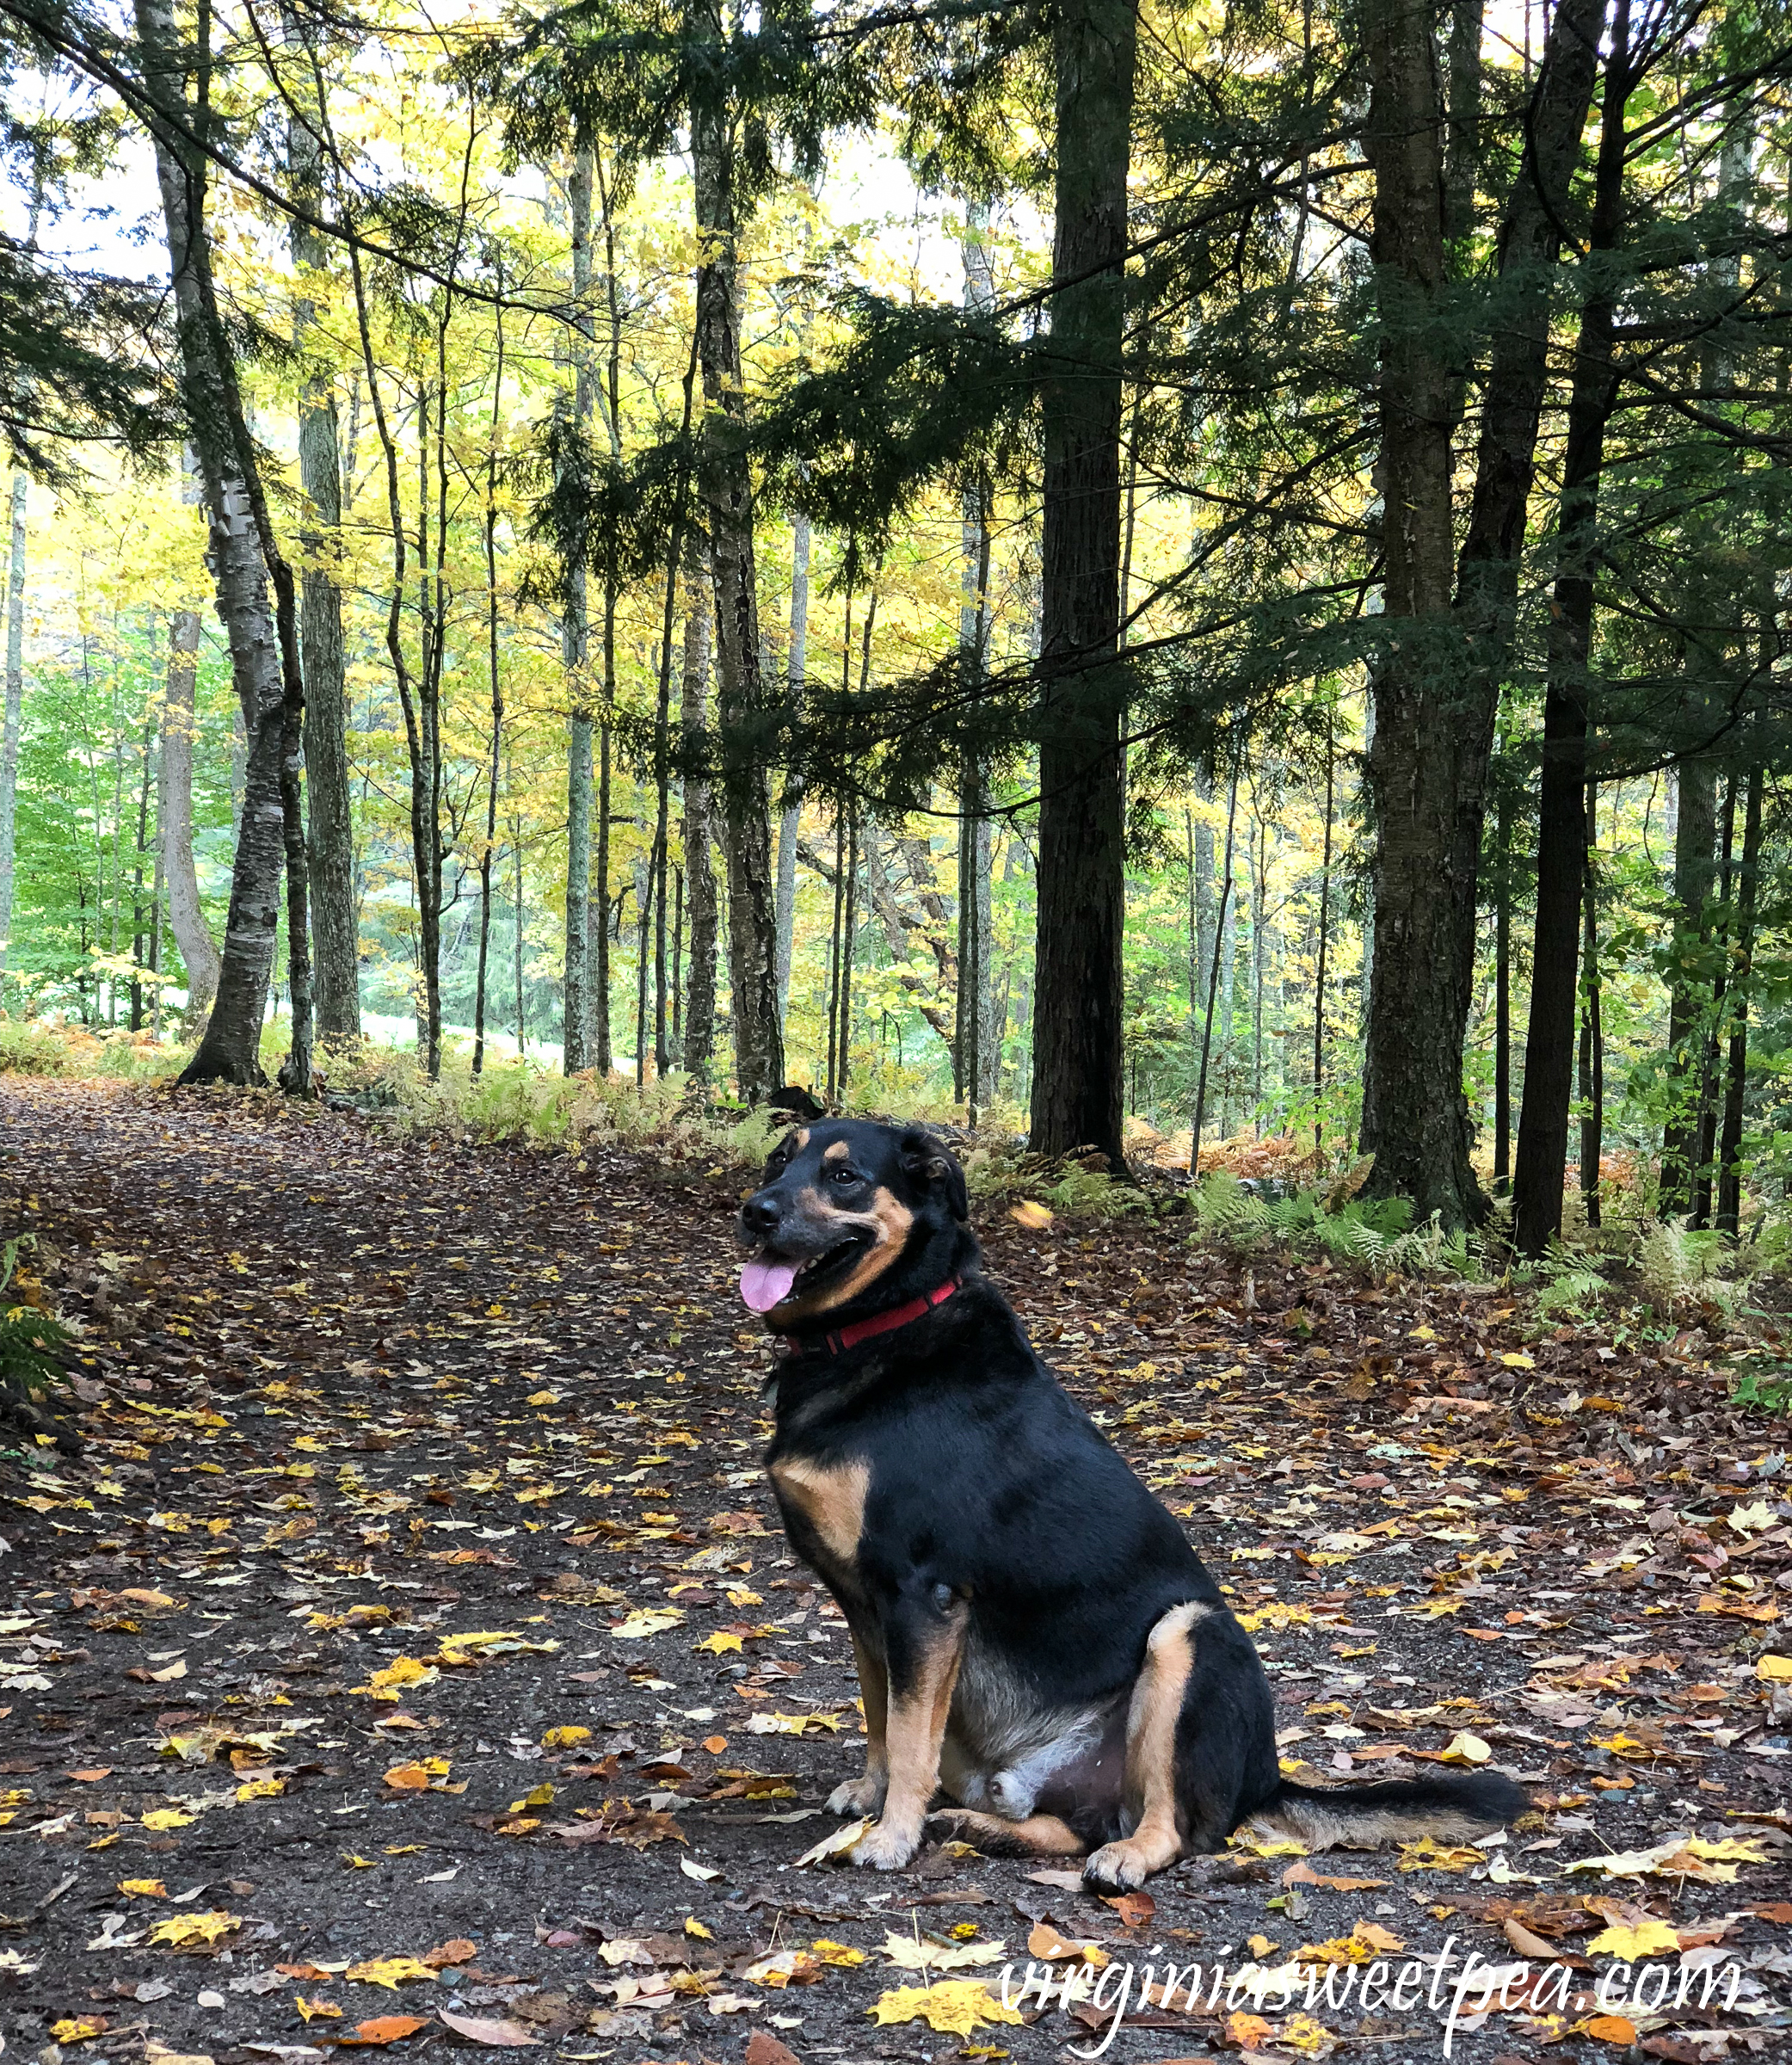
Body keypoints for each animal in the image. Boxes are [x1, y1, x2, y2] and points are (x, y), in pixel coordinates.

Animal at [735, 1131, 1519, 1891]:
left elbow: (906, 1738)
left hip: (1189, 1636)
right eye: (778, 1160)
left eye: (844, 1177)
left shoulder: (922, 1596)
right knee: (1077, 1823)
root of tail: (1262, 1782)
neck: (883, 1326)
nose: (754, 1212)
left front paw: (891, 1836)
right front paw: (871, 1799)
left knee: (1171, 1827)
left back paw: (1124, 1857)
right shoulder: (864, 1605)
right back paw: (980, 1826)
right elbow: (879, 1716)